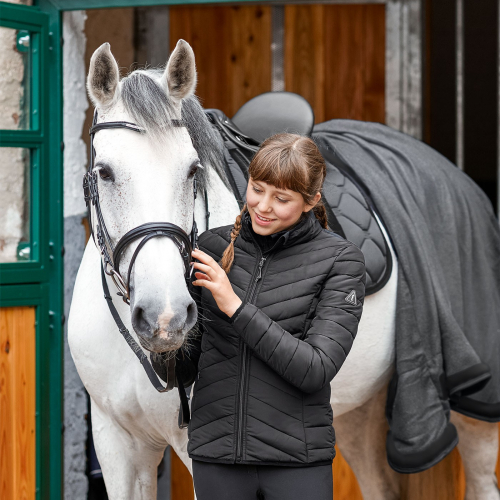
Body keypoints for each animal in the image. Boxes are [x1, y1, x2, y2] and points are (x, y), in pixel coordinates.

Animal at [67, 40, 500, 500]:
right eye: (104, 172)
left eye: (192, 170)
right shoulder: (118, 446)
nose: (164, 317)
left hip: (475, 407)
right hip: (356, 409)